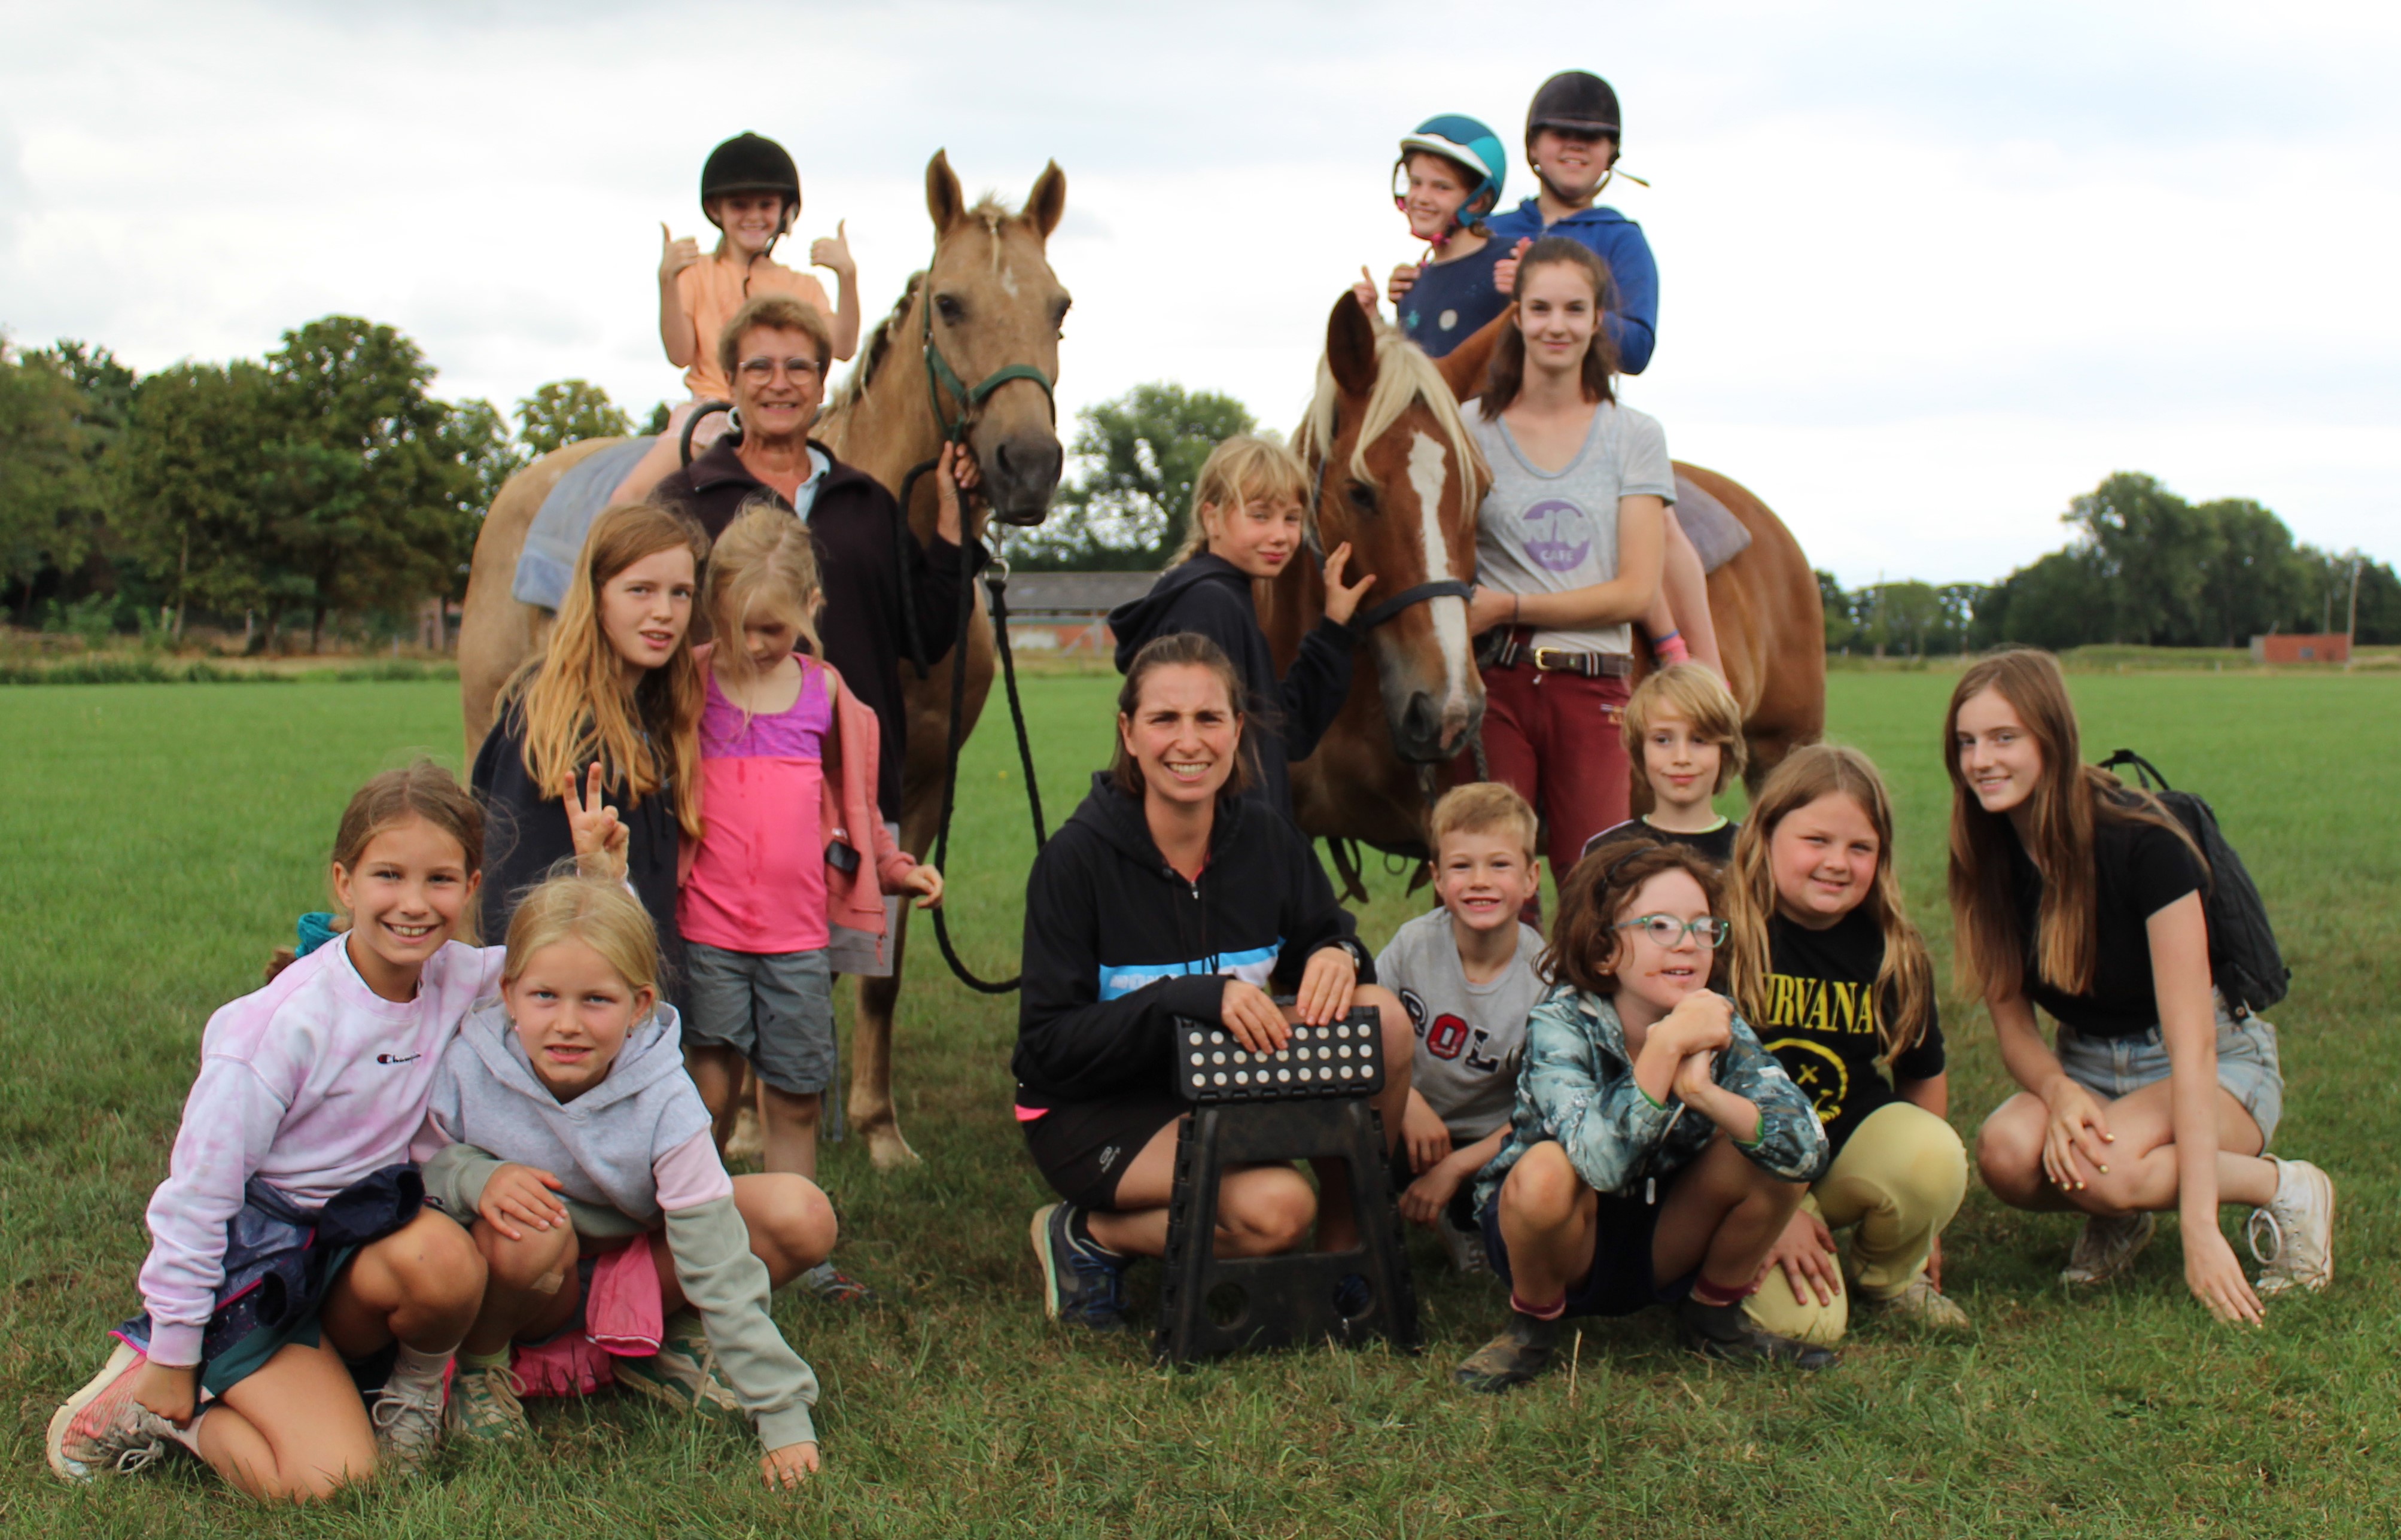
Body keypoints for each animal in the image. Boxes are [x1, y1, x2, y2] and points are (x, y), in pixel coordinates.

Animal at [456, 153, 1070, 1162]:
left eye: (1059, 305)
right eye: (949, 303)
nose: (1027, 464)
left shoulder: (919, 785)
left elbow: (879, 966)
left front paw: (876, 1126)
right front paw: (745, 1123)